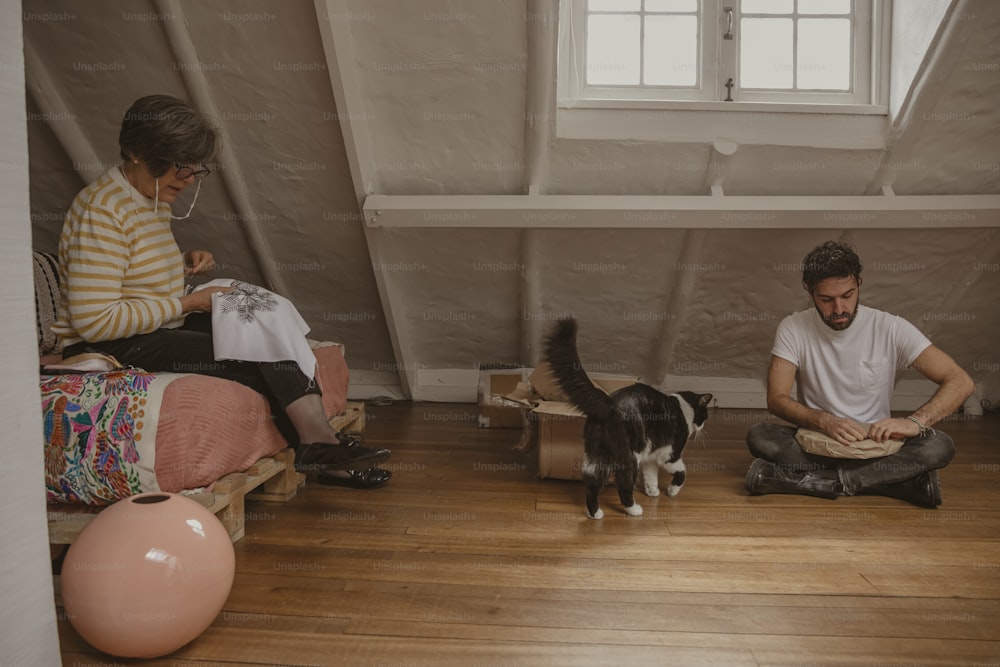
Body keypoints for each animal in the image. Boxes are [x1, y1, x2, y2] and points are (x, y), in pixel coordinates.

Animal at [544, 318, 716, 520]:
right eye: (705, 416)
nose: (702, 426)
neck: (683, 407)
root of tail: (609, 402)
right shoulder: (669, 455)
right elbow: (682, 471)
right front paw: (672, 491)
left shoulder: (651, 457)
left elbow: (651, 475)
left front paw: (653, 491)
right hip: (630, 456)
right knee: (624, 485)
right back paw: (633, 509)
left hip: (598, 454)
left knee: (593, 483)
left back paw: (595, 513)